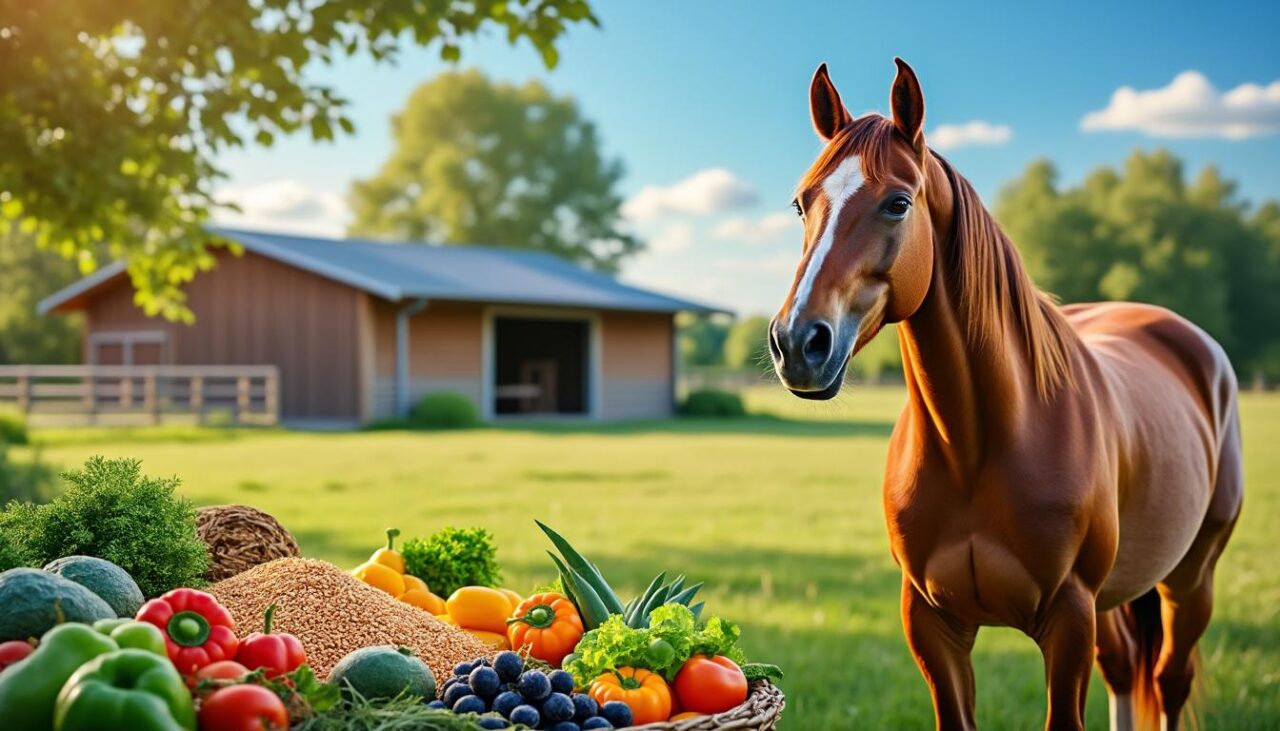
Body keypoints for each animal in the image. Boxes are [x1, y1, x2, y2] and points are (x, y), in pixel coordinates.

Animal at [767, 59, 1243, 731]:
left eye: (897, 203)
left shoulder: (1069, 621)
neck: (977, 448)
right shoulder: (933, 625)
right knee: (1125, 668)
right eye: (801, 203)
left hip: (1190, 581)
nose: (796, 342)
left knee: (1168, 680)